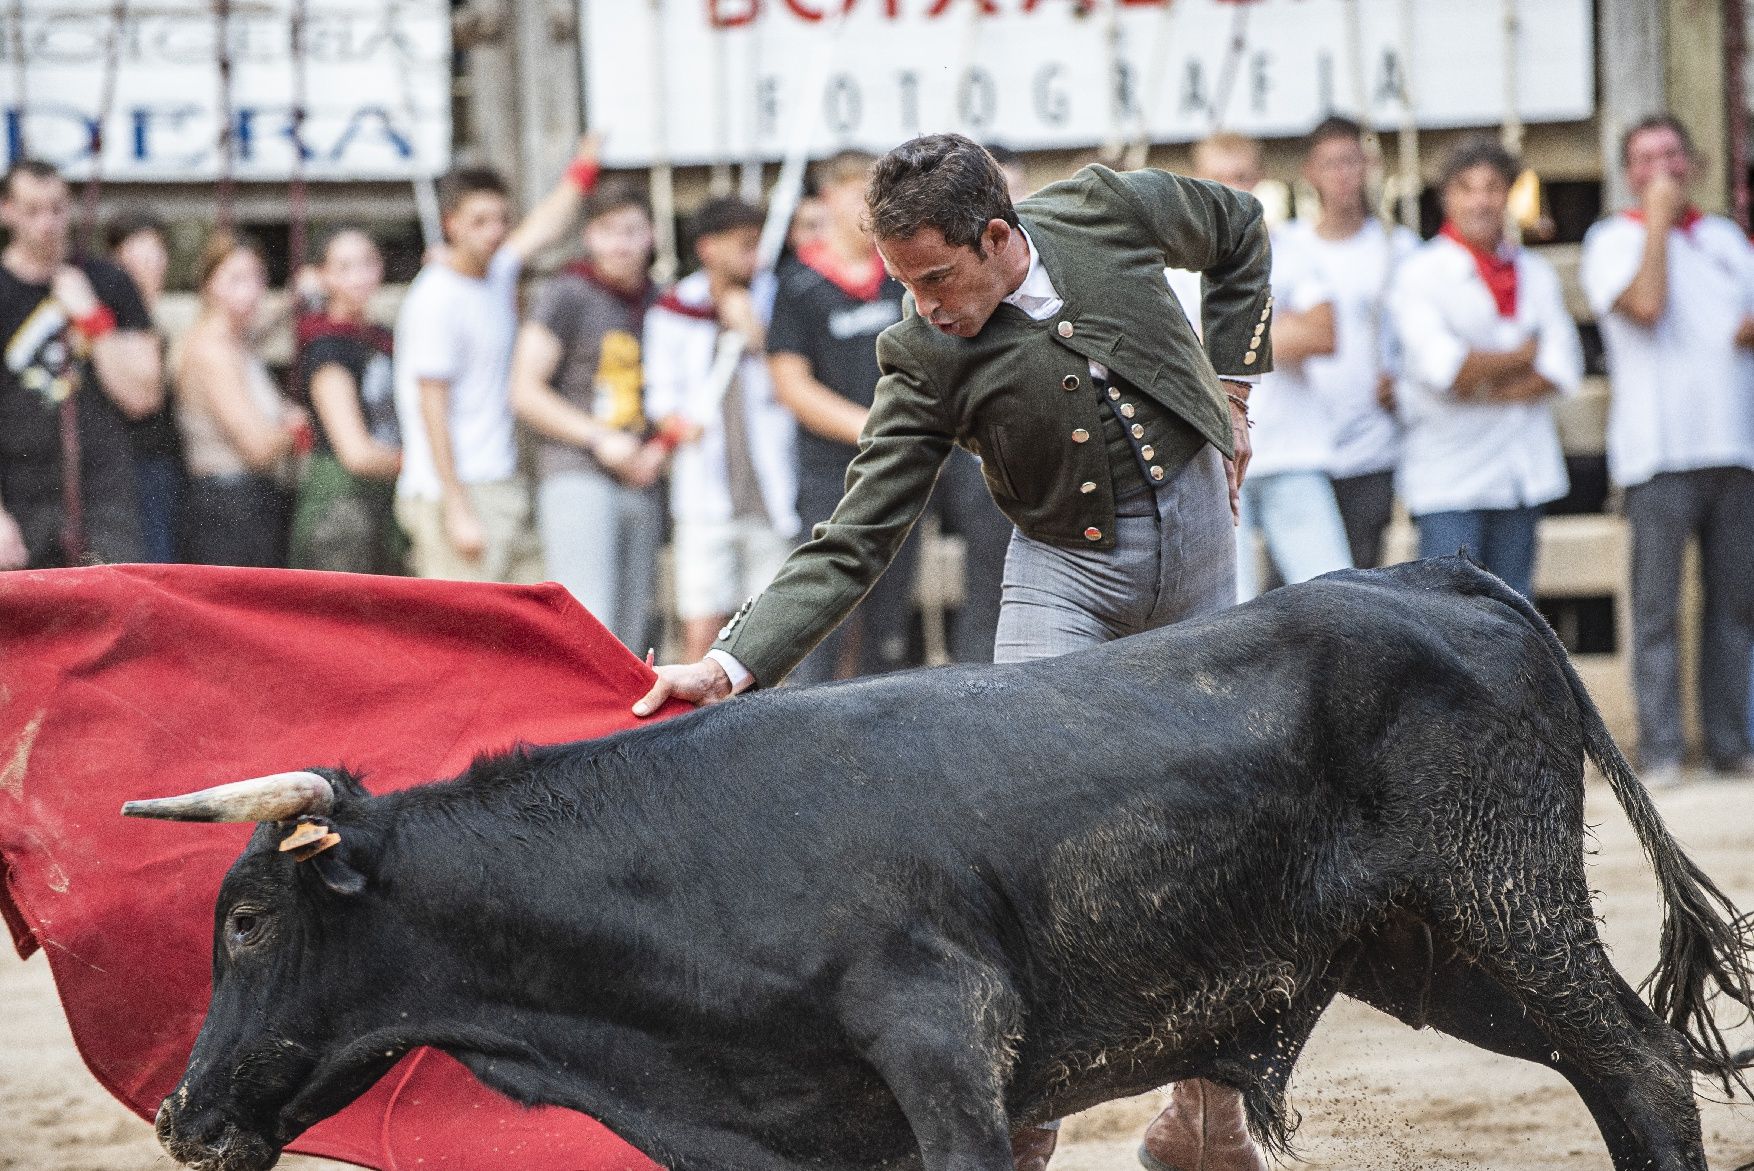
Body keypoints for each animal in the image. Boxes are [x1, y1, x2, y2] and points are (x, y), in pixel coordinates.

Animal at [129, 560, 1746, 1171]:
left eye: (250, 916)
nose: (185, 1117)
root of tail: (1432, 575)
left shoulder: (944, 1046)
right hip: (1430, 955)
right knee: (1613, 1070)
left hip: (1506, 901)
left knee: (1641, 1065)